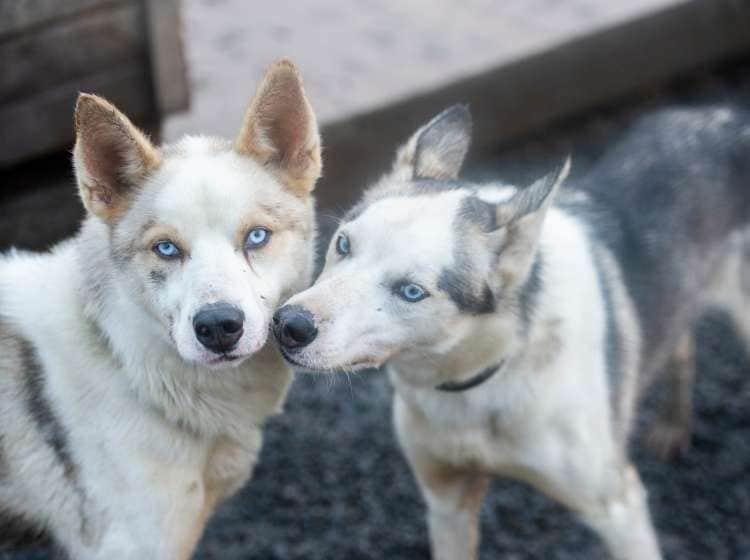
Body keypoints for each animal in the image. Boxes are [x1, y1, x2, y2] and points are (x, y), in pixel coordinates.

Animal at [274, 106, 750, 560]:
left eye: (411, 291)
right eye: (343, 243)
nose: (290, 325)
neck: (475, 380)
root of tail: (729, 116)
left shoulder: (619, 508)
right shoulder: (447, 500)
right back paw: (672, 425)